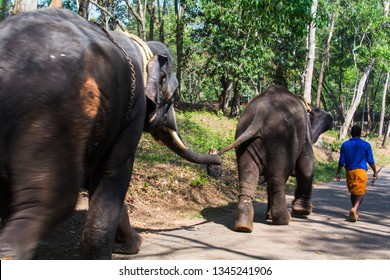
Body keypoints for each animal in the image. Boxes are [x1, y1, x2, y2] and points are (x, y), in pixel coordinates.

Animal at [0, 7, 221, 260]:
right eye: (173, 96)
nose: (215, 161)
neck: (141, 46)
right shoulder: (133, 112)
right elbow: (113, 173)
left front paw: (129, 246)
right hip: (51, 117)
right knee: (51, 200)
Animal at [216, 85, 332, 232]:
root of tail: (259, 116)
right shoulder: (304, 132)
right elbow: (306, 164)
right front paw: (302, 211)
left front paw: (268, 216)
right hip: (280, 140)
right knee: (277, 177)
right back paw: (284, 220)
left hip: (245, 137)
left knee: (248, 173)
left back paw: (244, 226)